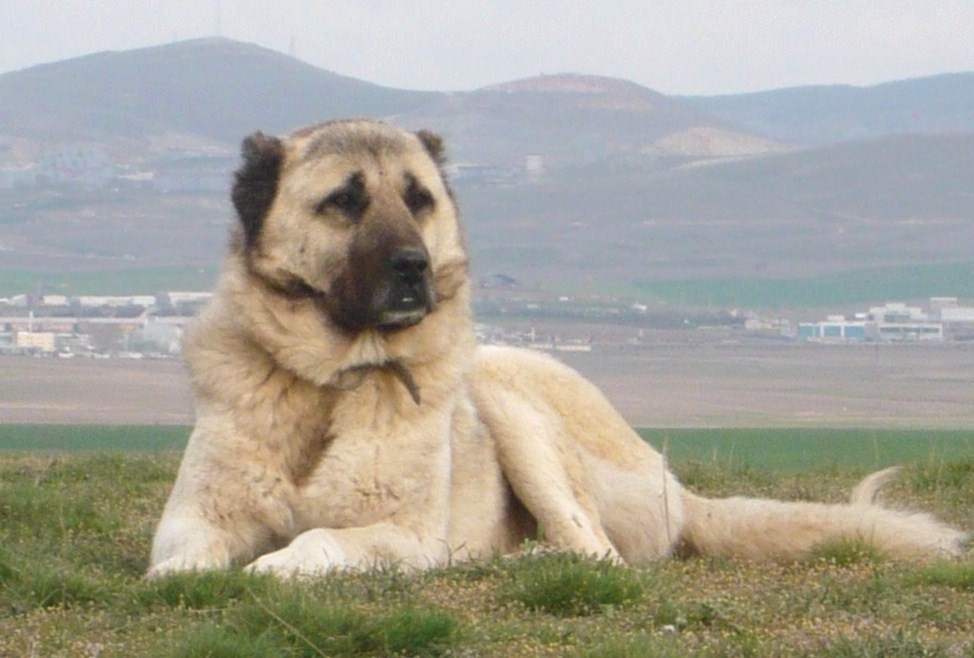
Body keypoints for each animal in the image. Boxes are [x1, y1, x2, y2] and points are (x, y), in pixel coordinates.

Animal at [149, 120, 972, 576]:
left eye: (419, 199)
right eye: (344, 201)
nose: (413, 266)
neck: (328, 381)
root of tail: (679, 490)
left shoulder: (406, 535)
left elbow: (319, 539)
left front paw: (273, 568)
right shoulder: (192, 517)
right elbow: (182, 558)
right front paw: (193, 576)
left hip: (512, 400)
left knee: (597, 552)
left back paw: (520, 558)